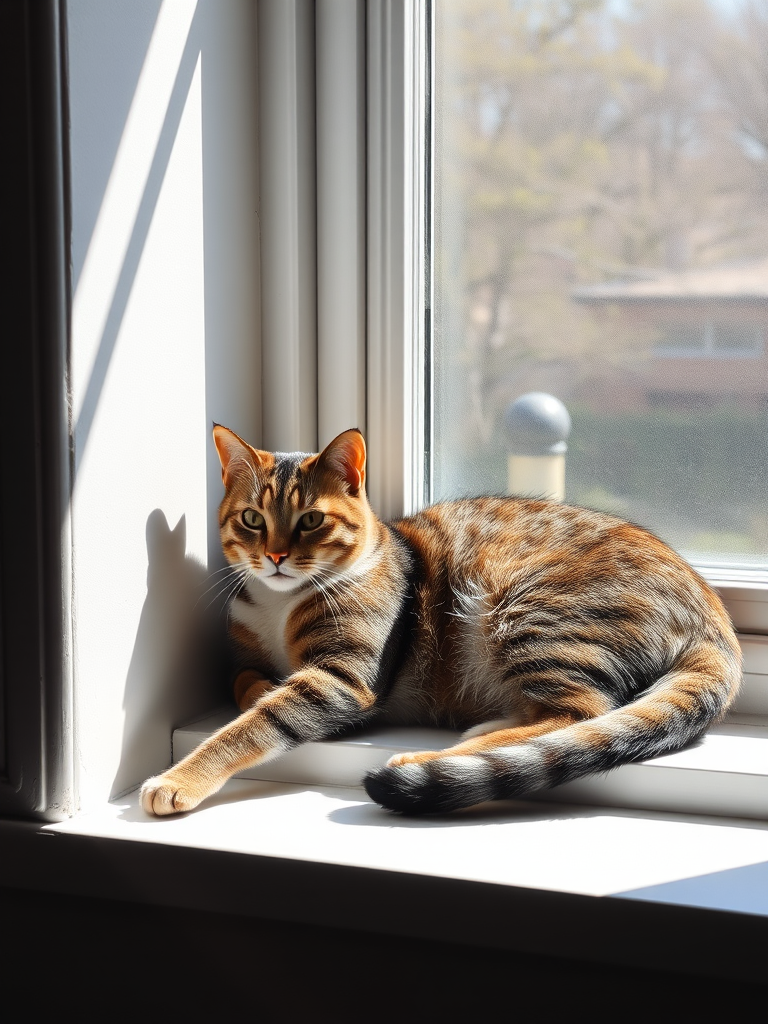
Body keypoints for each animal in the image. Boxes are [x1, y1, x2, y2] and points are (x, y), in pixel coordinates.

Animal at [141, 423, 741, 815]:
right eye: (251, 519)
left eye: (311, 520)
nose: (276, 557)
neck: (279, 602)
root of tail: (713, 617)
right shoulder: (245, 653)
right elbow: (246, 683)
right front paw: (263, 687)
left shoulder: (343, 679)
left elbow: (250, 727)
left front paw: (179, 779)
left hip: (534, 612)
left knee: (581, 712)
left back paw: (426, 756)